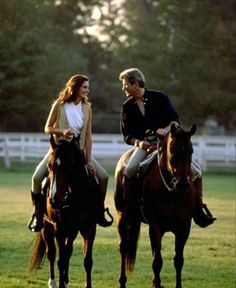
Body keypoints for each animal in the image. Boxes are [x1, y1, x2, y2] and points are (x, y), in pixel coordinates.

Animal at [28, 137, 98, 288]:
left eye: (69, 165)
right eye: (49, 166)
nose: (54, 200)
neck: (76, 196)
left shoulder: (89, 228)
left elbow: (87, 260)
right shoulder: (59, 229)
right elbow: (60, 260)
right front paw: (59, 282)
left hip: (72, 231)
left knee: (68, 251)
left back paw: (65, 280)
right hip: (47, 227)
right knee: (52, 253)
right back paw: (53, 282)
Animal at [114, 124, 197, 288]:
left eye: (191, 151)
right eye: (172, 150)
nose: (183, 184)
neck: (172, 193)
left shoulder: (184, 227)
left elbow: (178, 260)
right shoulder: (155, 227)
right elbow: (157, 261)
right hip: (123, 217)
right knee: (124, 247)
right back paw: (122, 281)